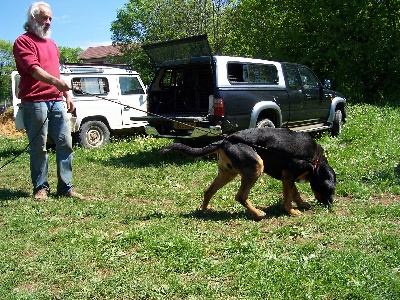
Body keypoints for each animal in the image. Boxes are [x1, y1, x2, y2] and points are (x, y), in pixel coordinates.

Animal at [161, 127, 336, 220]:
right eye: (329, 190)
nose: (330, 205)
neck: (315, 160)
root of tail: (225, 140)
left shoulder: (288, 177)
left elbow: (295, 193)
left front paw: (301, 204)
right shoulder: (288, 174)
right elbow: (288, 197)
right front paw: (292, 211)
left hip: (228, 173)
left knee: (208, 190)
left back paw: (204, 210)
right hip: (256, 166)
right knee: (240, 196)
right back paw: (257, 213)